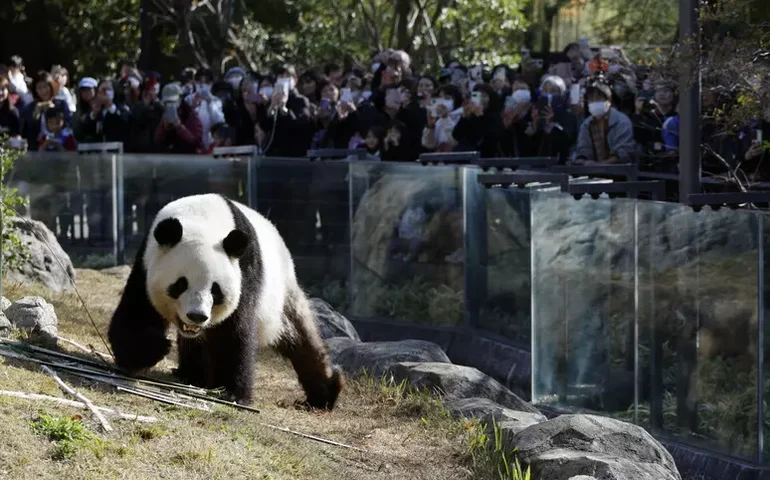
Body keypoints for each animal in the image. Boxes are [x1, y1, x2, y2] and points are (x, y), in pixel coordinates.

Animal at [107, 193, 344, 410]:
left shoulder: (244, 273)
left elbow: (233, 332)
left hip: (281, 293)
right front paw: (153, 349)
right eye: (180, 284)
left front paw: (232, 393)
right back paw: (192, 375)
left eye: (215, 289)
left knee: (300, 337)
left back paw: (324, 394)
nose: (197, 316)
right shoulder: (146, 264)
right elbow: (136, 315)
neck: (202, 219)